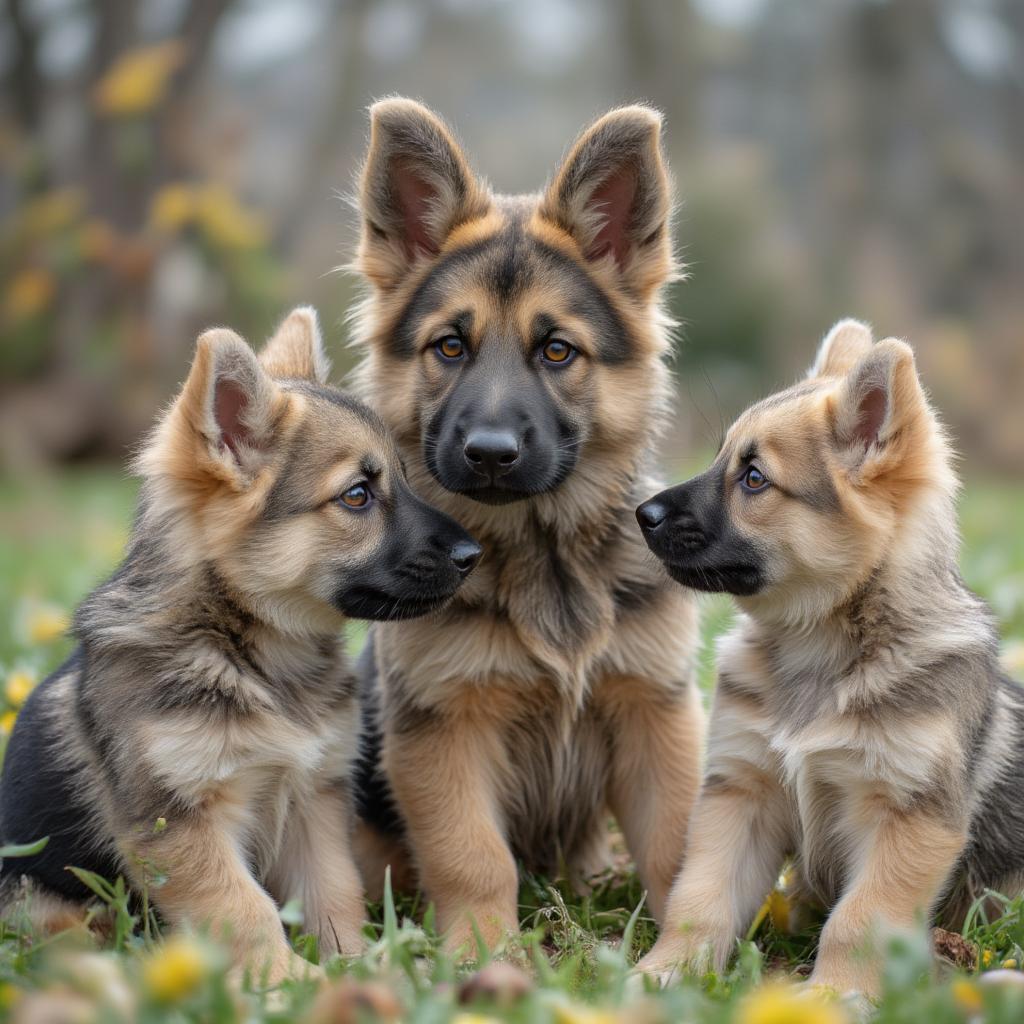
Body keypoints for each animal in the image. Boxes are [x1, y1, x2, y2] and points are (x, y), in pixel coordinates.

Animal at [0, 307, 481, 978]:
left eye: (407, 481)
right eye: (358, 495)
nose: (474, 556)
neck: (251, 656)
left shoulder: (314, 800)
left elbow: (334, 893)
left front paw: (354, 967)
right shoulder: (181, 823)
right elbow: (243, 907)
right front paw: (285, 981)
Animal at [350, 97, 704, 950]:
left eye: (556, 351)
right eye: (450, 345)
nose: (489, 454)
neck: (543, 557)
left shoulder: (656, 712)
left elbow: (676, 844)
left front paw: (686, 949)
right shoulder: (443, 730)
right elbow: (473, 856)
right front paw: (484, 954)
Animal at [634, 315, 1019, 995]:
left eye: (753, 478)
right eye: (720, 458)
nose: (639, 511)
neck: (822, 648)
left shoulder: (908, 820)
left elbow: (857, 921)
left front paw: (836, 995)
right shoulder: (741, 792)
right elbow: (698, 900)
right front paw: (664, 974)